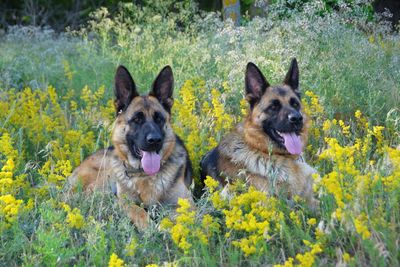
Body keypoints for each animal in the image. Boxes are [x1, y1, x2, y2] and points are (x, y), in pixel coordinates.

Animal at [68, 66, 193, 229]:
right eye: (137, 119)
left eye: (159, 118)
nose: (154, 140)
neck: (144, 175)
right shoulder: (127, 202)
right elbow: (137, 211)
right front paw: (150, 227)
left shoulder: (186, 204)